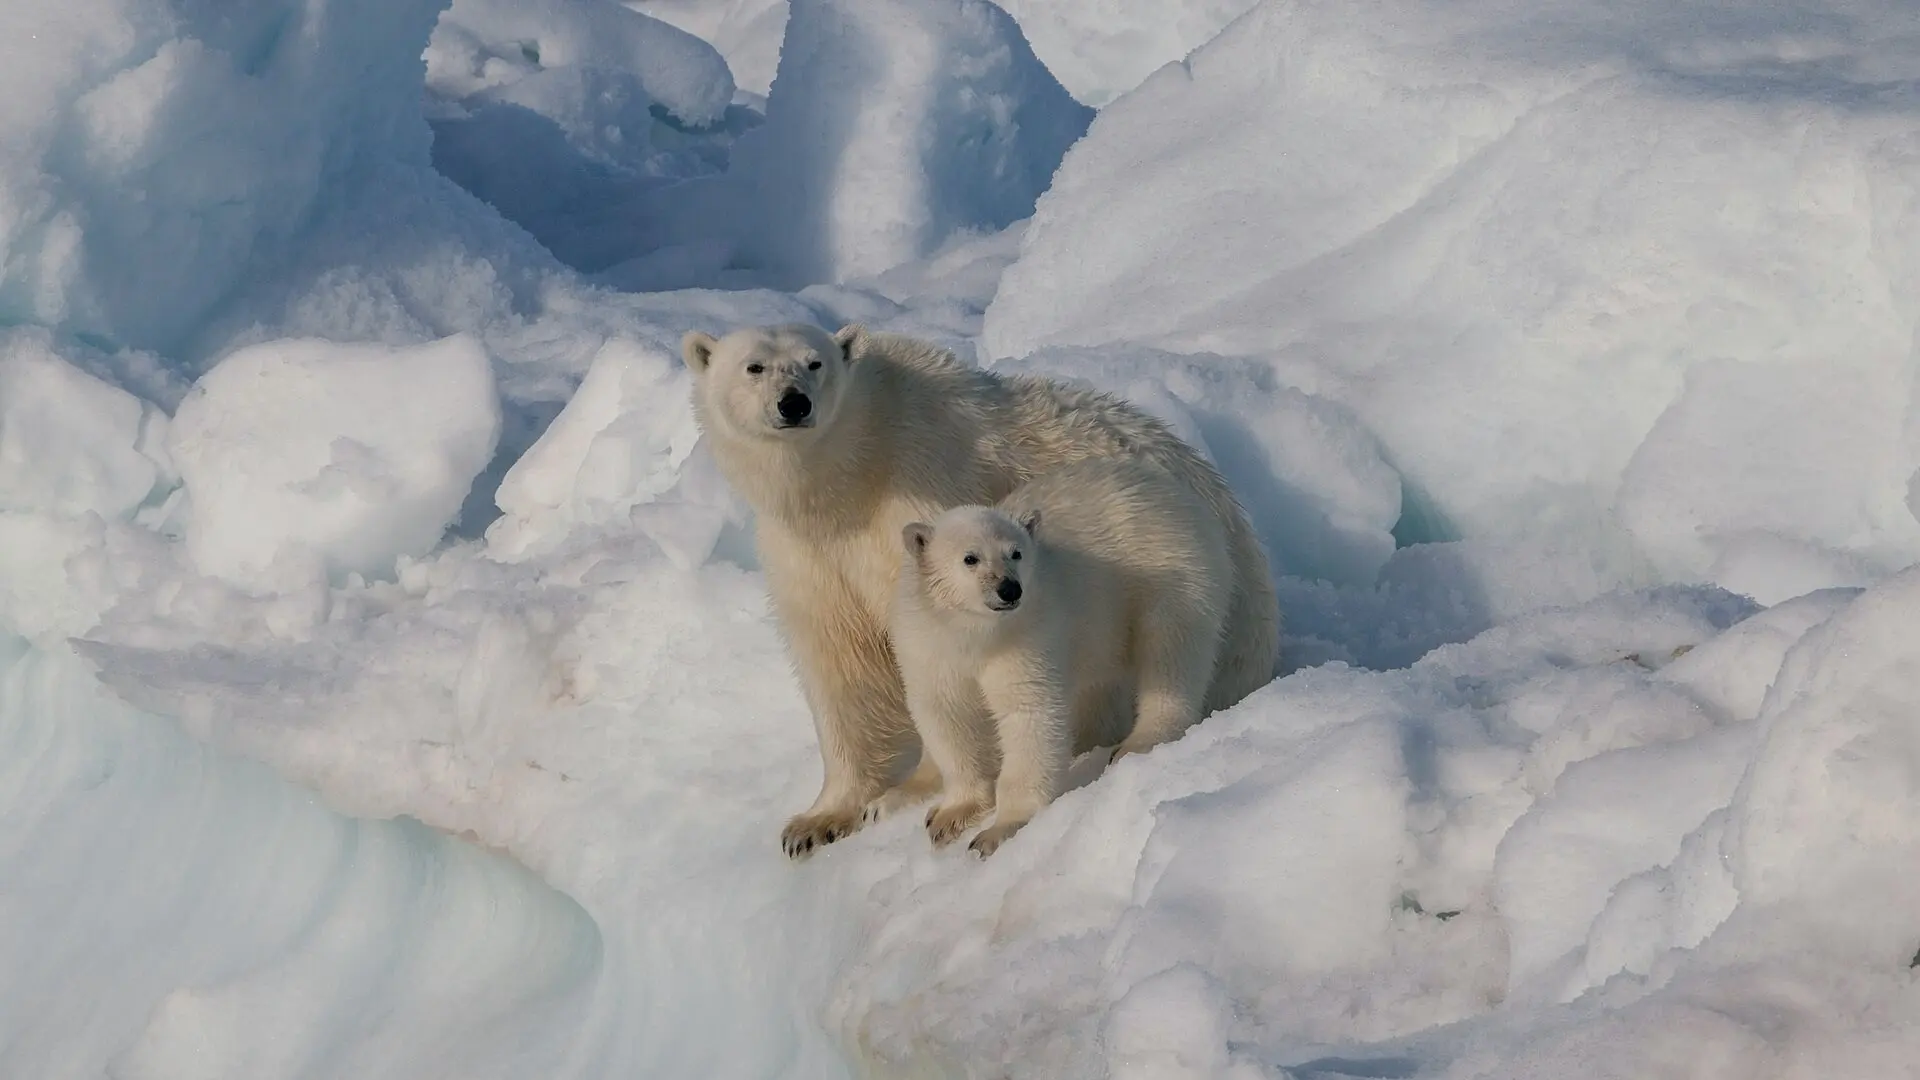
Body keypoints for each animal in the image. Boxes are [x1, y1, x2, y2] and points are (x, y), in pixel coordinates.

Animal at [892, 458, 1235, 857]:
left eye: (1016, 552)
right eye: (970, 558)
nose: (1009, 589)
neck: (975, 635)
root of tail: (1182, 494)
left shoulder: (1027, 635)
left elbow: (1028, 714)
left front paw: (996, 832)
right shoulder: (927, 648)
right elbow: (947, 716)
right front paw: (947, 818)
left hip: (1174, 574)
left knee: (1171, 655)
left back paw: (1139, 740)